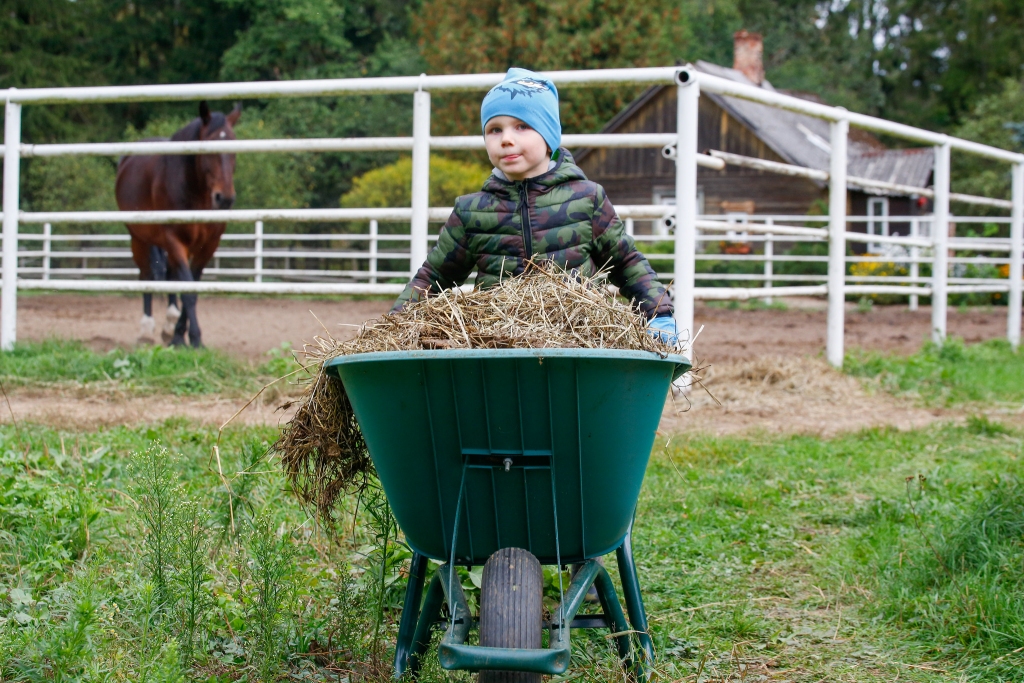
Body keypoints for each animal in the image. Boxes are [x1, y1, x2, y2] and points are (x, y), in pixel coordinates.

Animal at [116, 101, 241, 348]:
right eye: (208, 149)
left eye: (233, 150)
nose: (224, 198)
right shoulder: (175, 240)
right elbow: (188, 290)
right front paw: (195, 338)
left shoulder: (208, 245)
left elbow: (191, 286)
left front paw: (178, 335)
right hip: (139, 239)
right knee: (147, 275)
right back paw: (146, 330)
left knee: (169, 275)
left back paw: (169, 325)